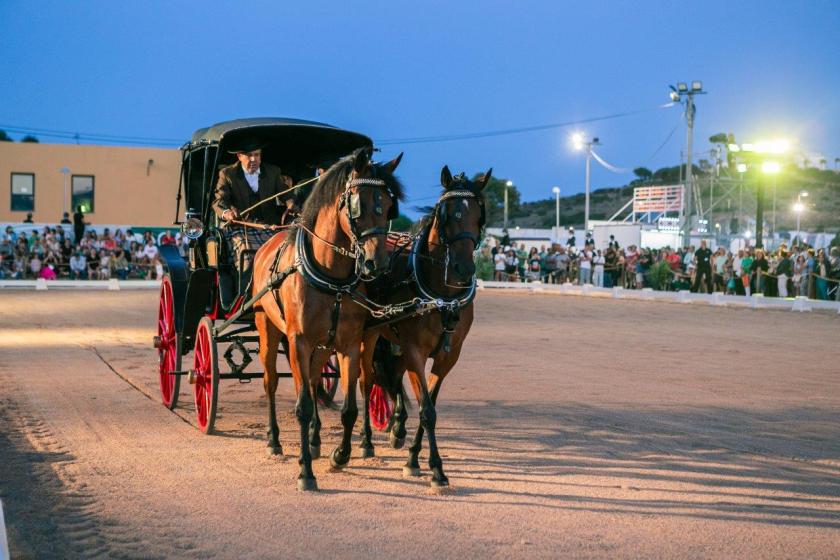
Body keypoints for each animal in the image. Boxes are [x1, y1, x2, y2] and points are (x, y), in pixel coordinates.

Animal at [251, 148, 402, 490]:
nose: (377, 264)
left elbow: (348, 408)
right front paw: (305, 472)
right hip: (268, 329)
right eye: (357, 204)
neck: (331, 277)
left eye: (389, 206)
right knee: (270, 381)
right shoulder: (299, 341)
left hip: (323, 346)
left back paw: (315, 440)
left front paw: (340, 455)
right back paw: (274, 441)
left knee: (314, 377)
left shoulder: (348, 344)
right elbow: (303, 406)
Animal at [358, 165, 488, 486]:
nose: (464, 269)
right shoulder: (415, 350)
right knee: (366, 381)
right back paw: (366, 440)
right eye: (447, 214)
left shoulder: (447, 356)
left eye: (479, 214)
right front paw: (435, 468)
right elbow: (427, 409)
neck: (443, 298)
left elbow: (431, 403)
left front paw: (415, 457)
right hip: (369, 335)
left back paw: (397, 427)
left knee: (394, 378)